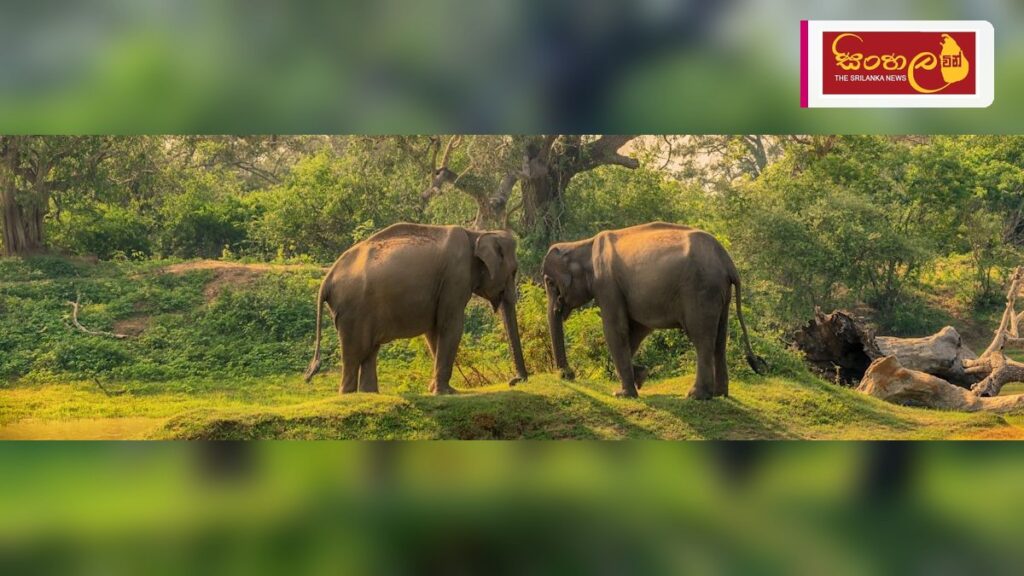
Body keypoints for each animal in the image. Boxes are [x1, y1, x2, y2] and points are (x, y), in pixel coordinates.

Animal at [304, 223, 528, 395]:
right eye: (514, 271)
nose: (514, 380)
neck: (477, 233)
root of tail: (327, 279)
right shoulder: (455, 277)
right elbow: (451, 326)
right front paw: (447, 392)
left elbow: (434, 331)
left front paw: (435, 389)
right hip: (352, 310)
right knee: (353, 353)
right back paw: (350, 396)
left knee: (369, 351)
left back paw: (370, 394)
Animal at [542, 222, 766, 399]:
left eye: (549, 282)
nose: (568, 374)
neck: (581, 245)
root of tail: (728, 262)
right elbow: (637, 329)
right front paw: (640, 376)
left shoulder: (607, 284)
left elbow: (615, 329)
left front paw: (622, 393)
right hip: (721, 294)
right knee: (720, 338)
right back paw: (720, 394)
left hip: (701, 290)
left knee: (702, 338)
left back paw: (696, 396)